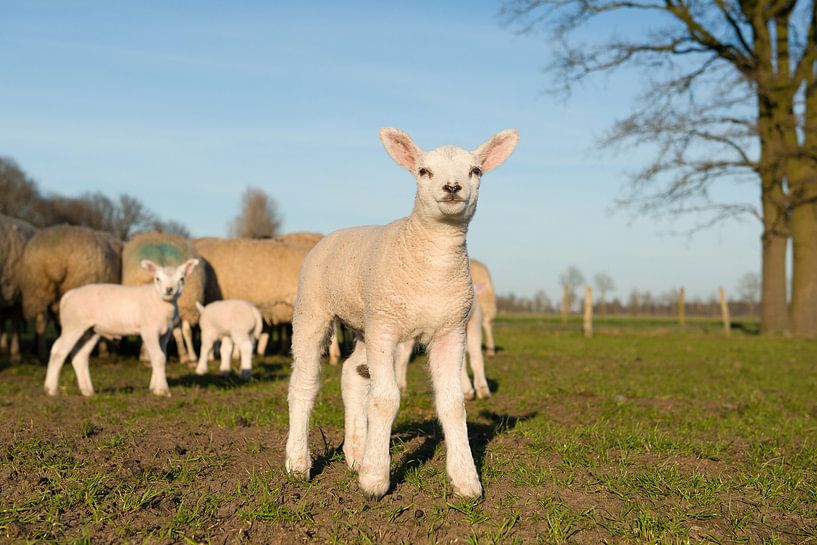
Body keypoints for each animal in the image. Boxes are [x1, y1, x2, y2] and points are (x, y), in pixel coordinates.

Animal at [43, 258, 199, 396]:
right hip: (73, 325)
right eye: (157, 279)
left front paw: (154, 387)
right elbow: (159, 357)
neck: (159, 301)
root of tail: (68, 295)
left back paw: (87, 391)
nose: (169, 290)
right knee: (58, 351)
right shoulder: (149, 330)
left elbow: (162, 356)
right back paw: (51, 389)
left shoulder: (165, 333)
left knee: (80, 356)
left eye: (182, 279)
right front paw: (162, 390)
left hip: (91, 330)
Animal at [286, 126, 516, 498]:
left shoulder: (450, 331)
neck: (433, 265)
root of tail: (333, 234)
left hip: (365, 322)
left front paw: (466, 480)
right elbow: (385, 399)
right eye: (424, 171)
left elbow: (453, 404)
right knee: (304, 385)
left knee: (352, 374)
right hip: (314, 310)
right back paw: (298, 463)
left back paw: (355, 452)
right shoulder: (386, 330)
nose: (452, 188)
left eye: (475, 171)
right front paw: (375, 479)